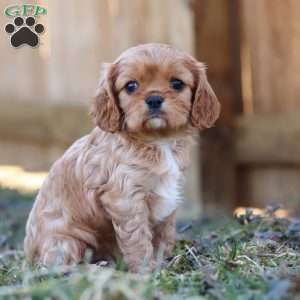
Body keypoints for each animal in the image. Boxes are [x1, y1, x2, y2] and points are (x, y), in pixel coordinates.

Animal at [24, 42, 220, 272]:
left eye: (177, 83)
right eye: (131, 86)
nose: (154, 99)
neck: (157, 140)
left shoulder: (170, 193)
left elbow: (164, 233)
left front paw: (163, 263)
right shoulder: (125, 198)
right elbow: (138, 238)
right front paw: (146, 270)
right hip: (65, 241)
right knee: (61, 265)